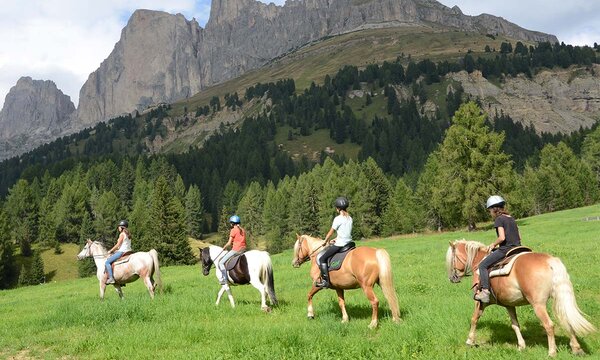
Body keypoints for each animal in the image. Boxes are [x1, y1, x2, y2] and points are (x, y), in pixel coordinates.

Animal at [446, 239, 596, 358]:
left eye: (452, 259)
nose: (452, 278)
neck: (479, 262)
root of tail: (550, 261)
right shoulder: (509, 305)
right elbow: (515, 325)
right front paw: (521, 346)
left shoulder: (481, 302)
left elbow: (474, 319)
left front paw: (469, 341)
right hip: (559, 298)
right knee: (567, 320)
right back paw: (576, 349)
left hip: (538, 305)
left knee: (549, 325)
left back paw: (552, 352)